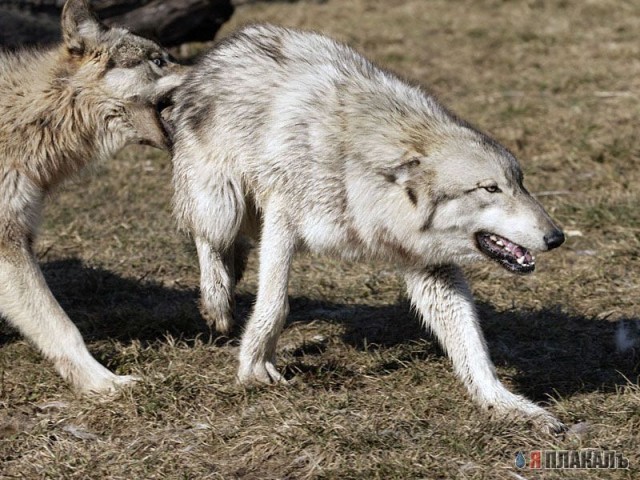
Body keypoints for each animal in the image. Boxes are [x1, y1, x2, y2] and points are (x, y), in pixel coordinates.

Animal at [170, 23, 564, 432]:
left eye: (520, 183)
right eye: (490, 188)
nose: (557, 237)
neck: (359, 174)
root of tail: (216, 52)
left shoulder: (430, 267)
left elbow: (472, 343)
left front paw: (507, 405)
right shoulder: (282, 218)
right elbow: (275, 303)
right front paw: (254, 366)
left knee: (238, 246)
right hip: (223, 203)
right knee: (207, 238)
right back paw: (217, 300)